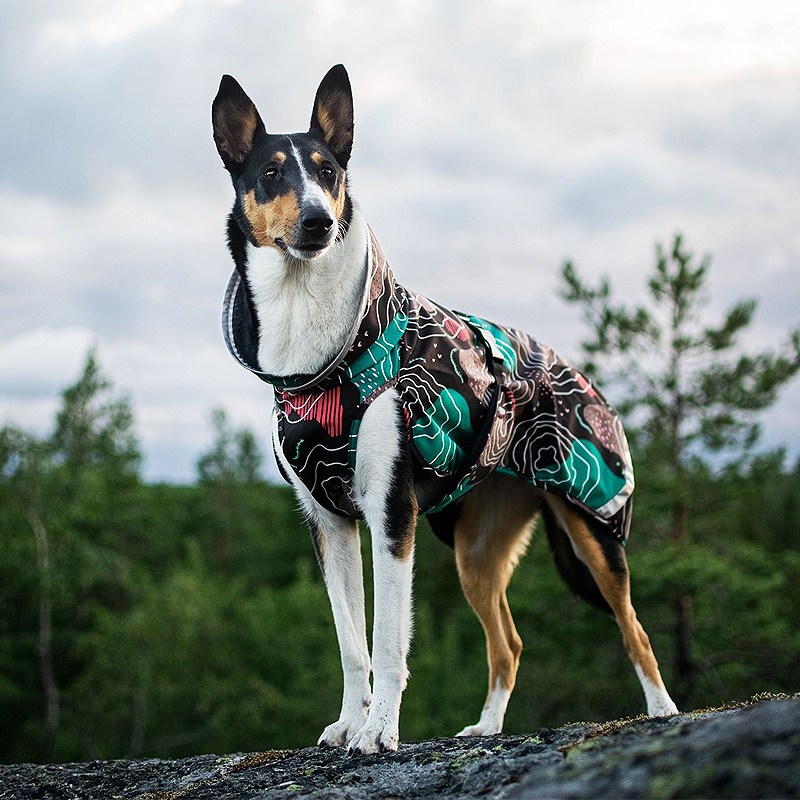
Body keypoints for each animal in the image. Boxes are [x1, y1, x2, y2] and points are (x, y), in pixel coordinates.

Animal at [211, 64, 676, 756]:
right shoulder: (328, 522)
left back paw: (663, 710)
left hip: (593, 525)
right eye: (270, 173)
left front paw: (379, 734)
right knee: (509, 642)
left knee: (634, 629)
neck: (321, 359)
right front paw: (349, 724)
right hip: (474, 553)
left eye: (329, 172)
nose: (319, 222)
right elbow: (352, 646)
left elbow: (388, 643)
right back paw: (486, 726)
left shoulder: (391, 513)